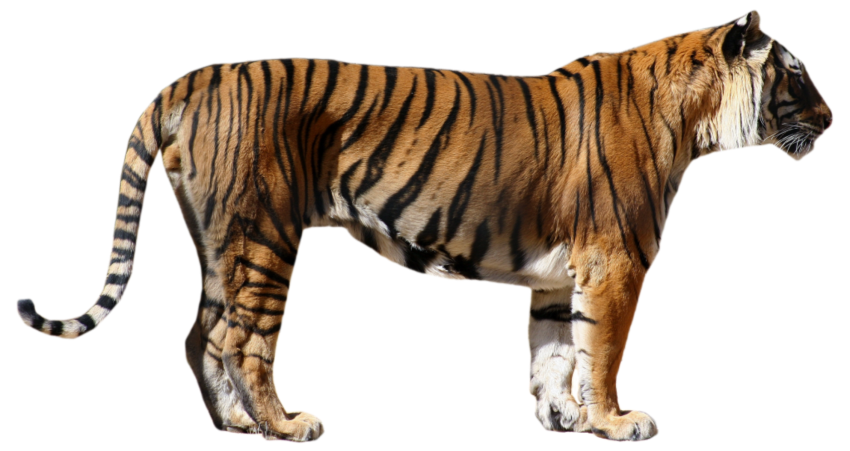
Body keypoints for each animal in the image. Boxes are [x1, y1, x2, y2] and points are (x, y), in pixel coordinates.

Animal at [15, 10, 831, 442]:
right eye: (795, 73)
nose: (830, 116)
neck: (696, 119)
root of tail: (194, 77)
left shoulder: (559, 273)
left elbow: (553, 351)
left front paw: (561, 417)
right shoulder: (615, 263)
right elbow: (600, 352)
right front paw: (615, 421)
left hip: (224, 243)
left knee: (200, 333)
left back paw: (237, 426)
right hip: (264, 238)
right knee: (241, 339)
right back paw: (287, 425)